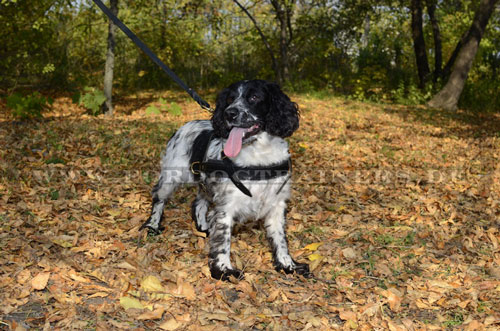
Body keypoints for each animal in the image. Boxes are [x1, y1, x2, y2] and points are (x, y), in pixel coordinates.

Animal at [140, 80, 308, 280]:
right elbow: (223, 240)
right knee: (159, 198)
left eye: (254, 97)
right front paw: (223, 269)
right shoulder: (226, 205)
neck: (258, 156)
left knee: (199, 202)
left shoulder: (277, 204)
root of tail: (184, 125)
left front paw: (287, 265)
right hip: (170, 177)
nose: (230, 113)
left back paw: (203, 227)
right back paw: (152, 225)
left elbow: (280, 238)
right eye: (229, 99)